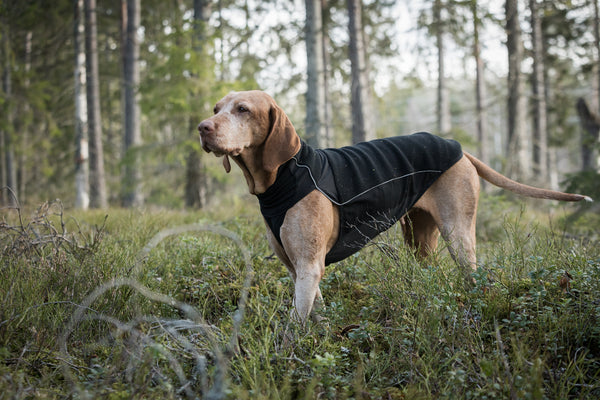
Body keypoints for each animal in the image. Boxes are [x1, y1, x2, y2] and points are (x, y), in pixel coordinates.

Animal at [199, 89, 592, 324]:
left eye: (242, 110)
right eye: (217, 109)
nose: (203, 127)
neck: (284, 176)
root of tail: (460, 149)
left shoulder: (309, 267)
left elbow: (293, 327)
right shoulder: (299, 270)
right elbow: (315, 313)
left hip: (458, 233)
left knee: (474, 275)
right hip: (419, 237)